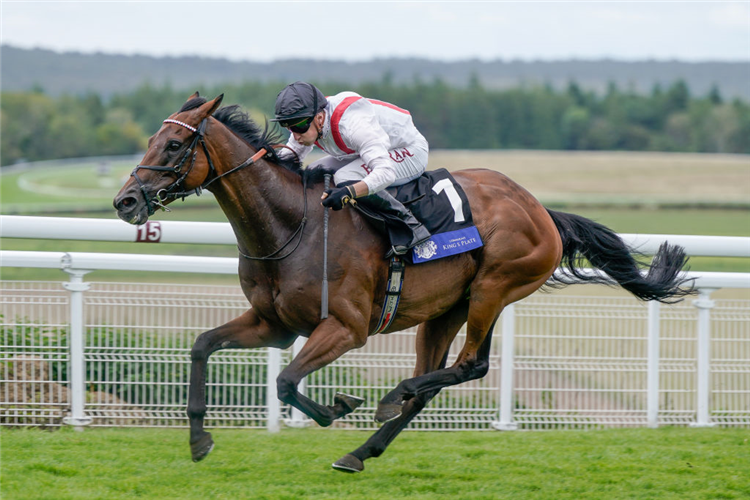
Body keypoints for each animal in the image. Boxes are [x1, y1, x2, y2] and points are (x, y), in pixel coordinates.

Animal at [114, 94, 696, 472]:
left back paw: (390, 398)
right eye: (152, 139)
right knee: (433, 381)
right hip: (447, 309)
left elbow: (286, 381)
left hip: (495, 287)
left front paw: (338, 407)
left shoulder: (345, 328)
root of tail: (541, 211)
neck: (291, 226)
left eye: (173, 145)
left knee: (469, 366)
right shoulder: (272, 324)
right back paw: (361, 451)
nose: (125, 201)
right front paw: (198, 441)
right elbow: (202, 345)